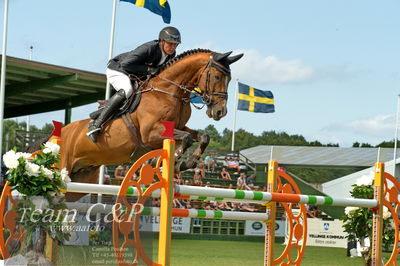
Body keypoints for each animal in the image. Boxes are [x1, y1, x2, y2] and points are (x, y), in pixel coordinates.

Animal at [47, 48, 242, 185]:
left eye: (229, 79)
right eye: (217, 76)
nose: (220, 112)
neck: (169, 91)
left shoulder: (179, 127)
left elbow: (203, 136)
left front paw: (186, 163)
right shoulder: (150, 134)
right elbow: (186, 138)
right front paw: (174, 161)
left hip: (82, 173)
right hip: (62, 165)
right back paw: (94, 129)